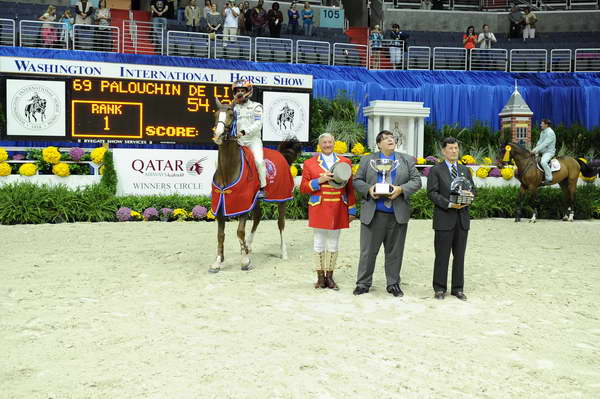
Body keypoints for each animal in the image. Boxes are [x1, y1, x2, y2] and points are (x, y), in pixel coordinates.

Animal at [210, 99, 300, 274]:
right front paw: (218, 262)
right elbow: (220, 235)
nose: (218, 135)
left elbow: (239, 231)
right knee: (258, 217)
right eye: (216, 114)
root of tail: (282, 155)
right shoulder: (221, 206)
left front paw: (245, 261)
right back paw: (248, 247)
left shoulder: (243, 205)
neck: (229, 170)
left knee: (281, 223)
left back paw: (283, 252)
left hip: (282, 199)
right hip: (256, 200)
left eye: (231, 114)